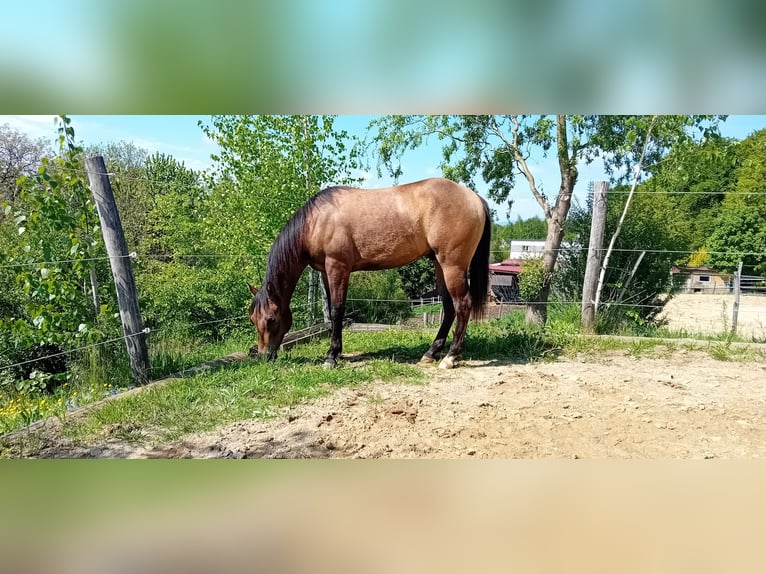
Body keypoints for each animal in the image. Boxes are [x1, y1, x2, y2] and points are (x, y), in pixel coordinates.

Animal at [248, 177, 491, 369]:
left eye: (270, 319)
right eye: (252, 318)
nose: (264, 357)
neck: (316, 221)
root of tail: (474, 198)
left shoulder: (337, 267)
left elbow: (337, 310)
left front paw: (331, 357)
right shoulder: (326, 272)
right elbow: (334, 312)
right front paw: (337, 352)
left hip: (452, 266)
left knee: (462, 305)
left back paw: (450, 357)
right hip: (439, 264)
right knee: (449, 307)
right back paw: (431, 353)